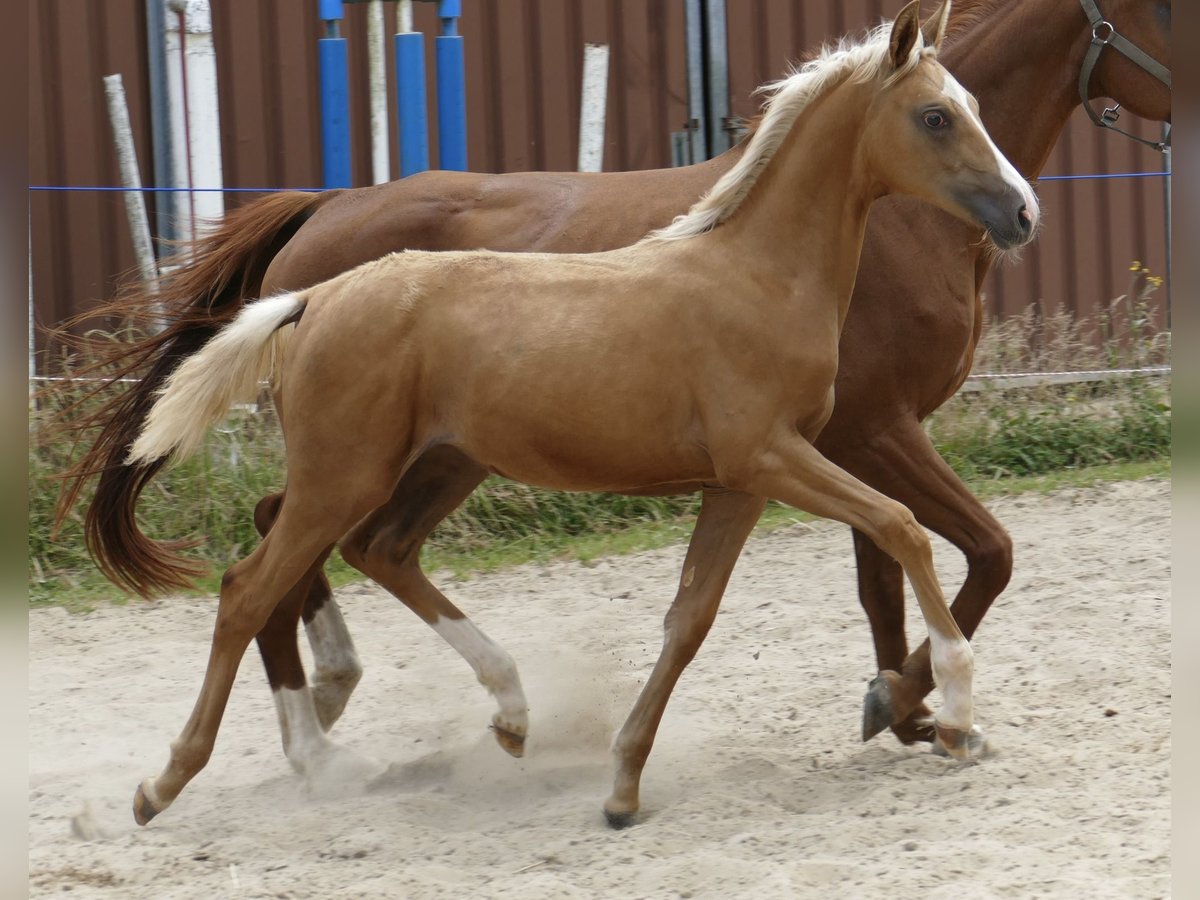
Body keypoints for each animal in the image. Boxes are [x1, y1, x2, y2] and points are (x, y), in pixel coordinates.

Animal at [54, 0, 1168, 767]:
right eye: (937, 118)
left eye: (976, 110)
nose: (1022, 212)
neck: (758, 268)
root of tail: (315, 269)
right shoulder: (829, 441)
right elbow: (939, 544)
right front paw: (933, 708)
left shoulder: (801, 454)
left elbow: (861, 574)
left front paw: (906, 706)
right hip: (360, 466)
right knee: (262, 571)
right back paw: (262, 753)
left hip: (431, 464)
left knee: (347, 546)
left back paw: (440, 712)